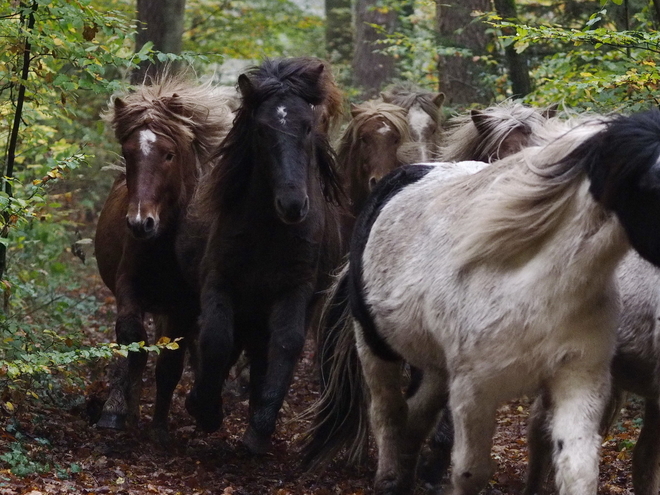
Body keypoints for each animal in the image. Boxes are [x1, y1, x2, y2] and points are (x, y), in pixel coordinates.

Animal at [93, 75, 237, 440]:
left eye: (169, 154)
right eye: (127, 154)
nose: (140, 223)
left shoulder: (183, 306)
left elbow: (170, 365)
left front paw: (159, 428)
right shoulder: (128, 286)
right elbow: (132, 341)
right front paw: (120, 412)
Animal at [304, 110, 660, 494]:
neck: (537, 285)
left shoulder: (579, 377)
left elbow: (578, 470)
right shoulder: (473, 390)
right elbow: (470, 472)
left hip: (435, 366)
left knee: (416, 417)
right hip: (374, 346)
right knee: (388, 413)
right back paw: (389, 479)